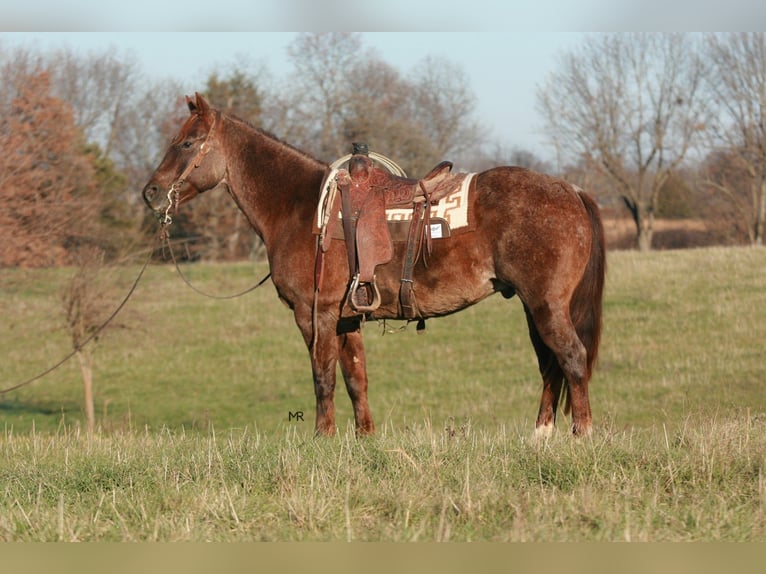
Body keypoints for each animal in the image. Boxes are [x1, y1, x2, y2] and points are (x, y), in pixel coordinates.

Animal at [142, 93, 605, 437]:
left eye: (187, 143)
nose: (151, 192)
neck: (300, 209)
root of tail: (570, 189)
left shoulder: (316, 314)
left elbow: (323, 376)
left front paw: (322, 438)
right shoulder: (346, 317)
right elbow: (355, 379)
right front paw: (364, 438)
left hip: (545, 305)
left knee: (571, 357)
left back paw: (581, 435)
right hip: (533, 307)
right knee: (550, 364)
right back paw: (541, 436)